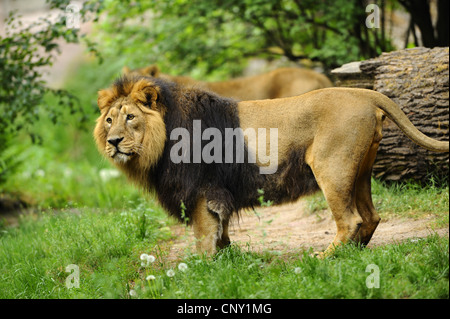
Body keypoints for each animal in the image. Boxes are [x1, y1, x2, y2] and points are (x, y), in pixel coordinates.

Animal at [93, 76, 448, 258]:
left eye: (130, 117)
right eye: (109, 120)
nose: (113, 142)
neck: (159, 142)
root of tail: (364, 94)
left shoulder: (201, 190)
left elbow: (203, 233)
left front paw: (202, 267)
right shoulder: (216, 192)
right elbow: (221, 230)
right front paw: (226, 259)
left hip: (332, 167)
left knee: (351, 220)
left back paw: (327, 258)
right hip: (360, 171)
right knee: (371, 217)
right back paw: (354, 254)